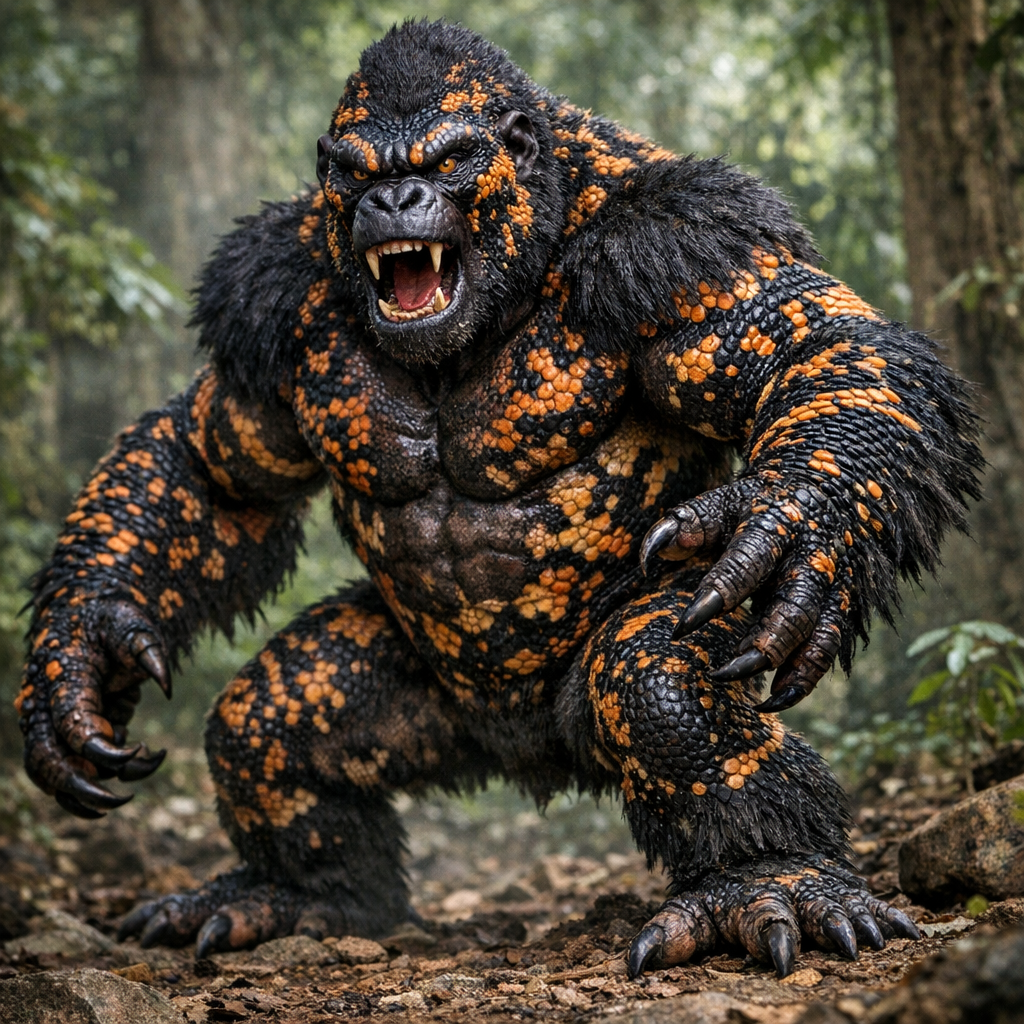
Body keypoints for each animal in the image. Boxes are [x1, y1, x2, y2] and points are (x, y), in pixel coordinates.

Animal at [17, 21, 981, 977]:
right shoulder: (278, 298)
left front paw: (794, 519)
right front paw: (80, 649)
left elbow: (813, 346)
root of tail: (531, 753)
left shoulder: (675, 247)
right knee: (268, 718)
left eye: (449, 159)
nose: (395, 197)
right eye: (355, 172)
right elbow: (215, 464)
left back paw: (768, 880)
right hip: (430, 697)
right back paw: (304, 896)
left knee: (655, 674)